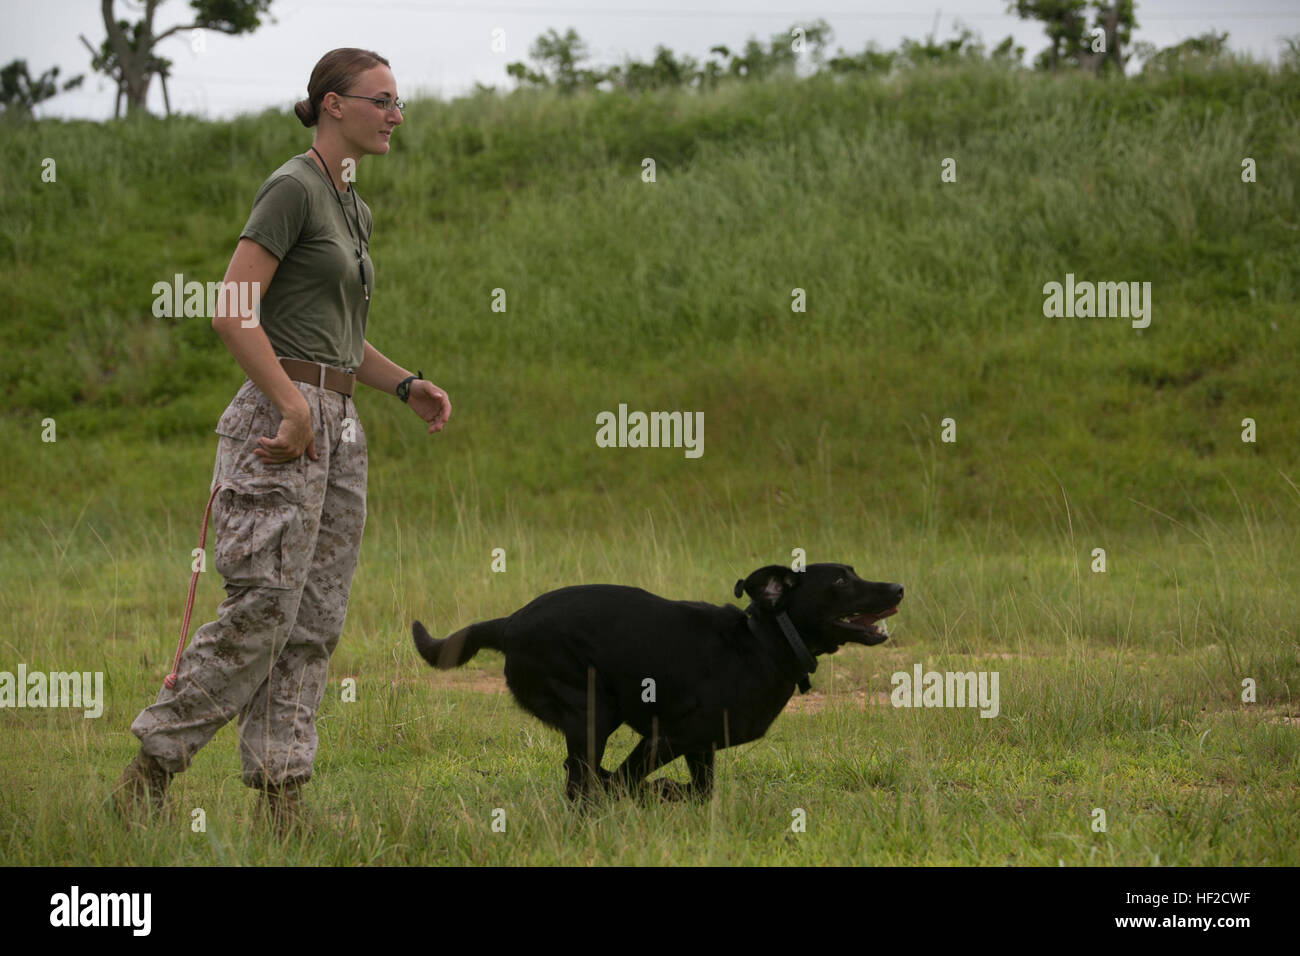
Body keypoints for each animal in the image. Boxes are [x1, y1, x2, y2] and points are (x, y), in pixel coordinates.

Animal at [410, 564, 899, 806]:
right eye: (841, 580)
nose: (898, 588)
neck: (764, 639)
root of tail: (509, 623)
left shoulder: (701, 746)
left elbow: (701, 793)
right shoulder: (668, 736)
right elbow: (627, 781)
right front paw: (655, 792)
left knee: (580, 779)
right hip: (593, 710)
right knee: (582, 780)